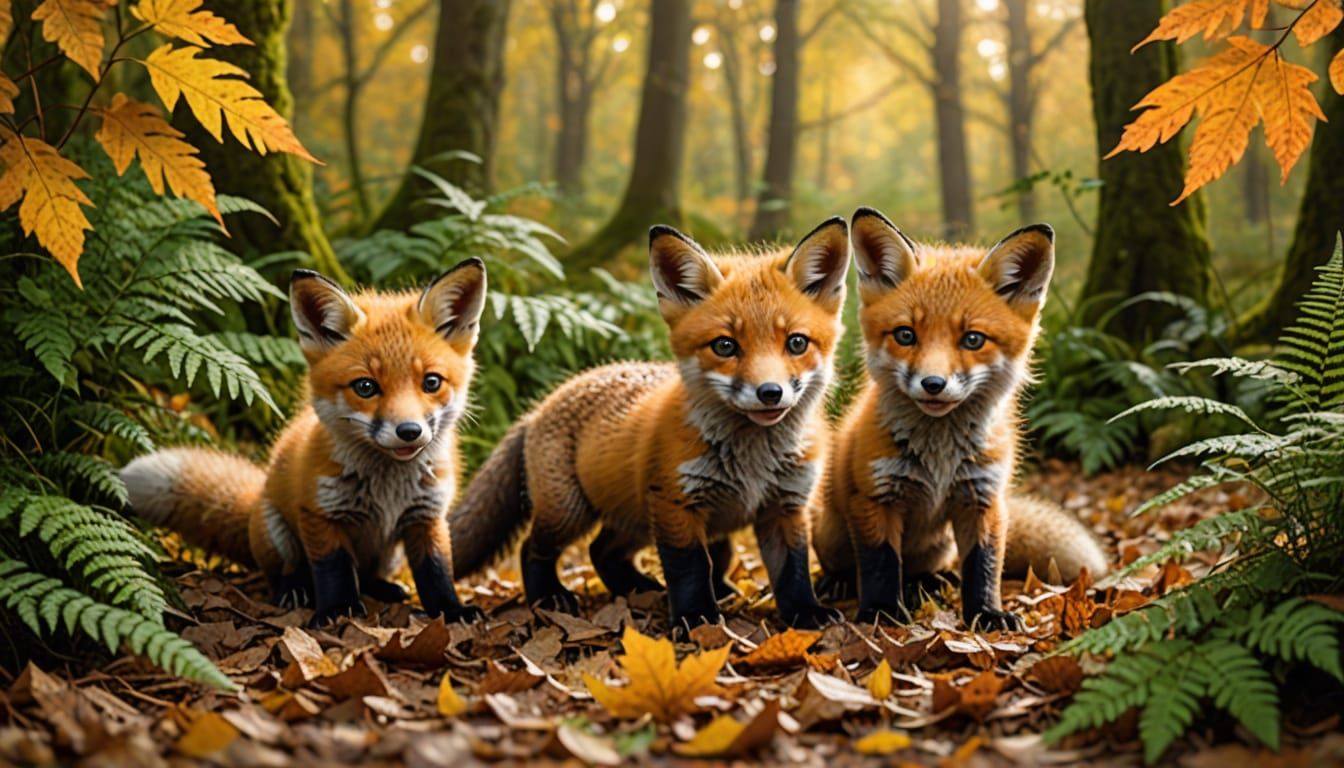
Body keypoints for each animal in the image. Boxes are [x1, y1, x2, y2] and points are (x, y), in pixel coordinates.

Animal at [120, 261, 489, 626]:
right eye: (365, 387)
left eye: (431, 382)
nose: (409, 431)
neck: (387, 488)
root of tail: (257, 500)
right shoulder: (319, 513)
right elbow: (332, 569)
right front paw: (338, 609)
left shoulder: (427, 516)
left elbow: (436, 570)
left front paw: (451, 610)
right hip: (278, 534)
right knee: (287, 572)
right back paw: (295, 591)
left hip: (389, 555)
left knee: (367, 575)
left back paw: (382, 589)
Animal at [448, 220, 852, 631]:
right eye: (725, 346)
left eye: (797, 343)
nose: (770, 392)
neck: (753, 462)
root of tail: (539, 408)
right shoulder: (675, 503)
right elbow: (690, 568)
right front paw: (696, 617)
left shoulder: (785, 504)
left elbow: (793, 569)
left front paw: (806, 612)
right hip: (570, 511)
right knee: (535, 548)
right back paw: (550, 596)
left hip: (637, 520)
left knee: (602, 551)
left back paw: (644, 588)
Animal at [813, 207, 1108, 630]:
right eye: (905, 335)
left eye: (973, 339)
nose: (933, 384)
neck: (939, 459)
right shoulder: (875, 497)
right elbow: (880, 565)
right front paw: (882, 612)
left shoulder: (983, 499)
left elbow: (983, 567)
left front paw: (986, 613)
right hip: (831, 530)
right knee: (847, 565)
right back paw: (839, 582)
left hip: (940, 543)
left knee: (926, 570)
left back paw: (930, 583)